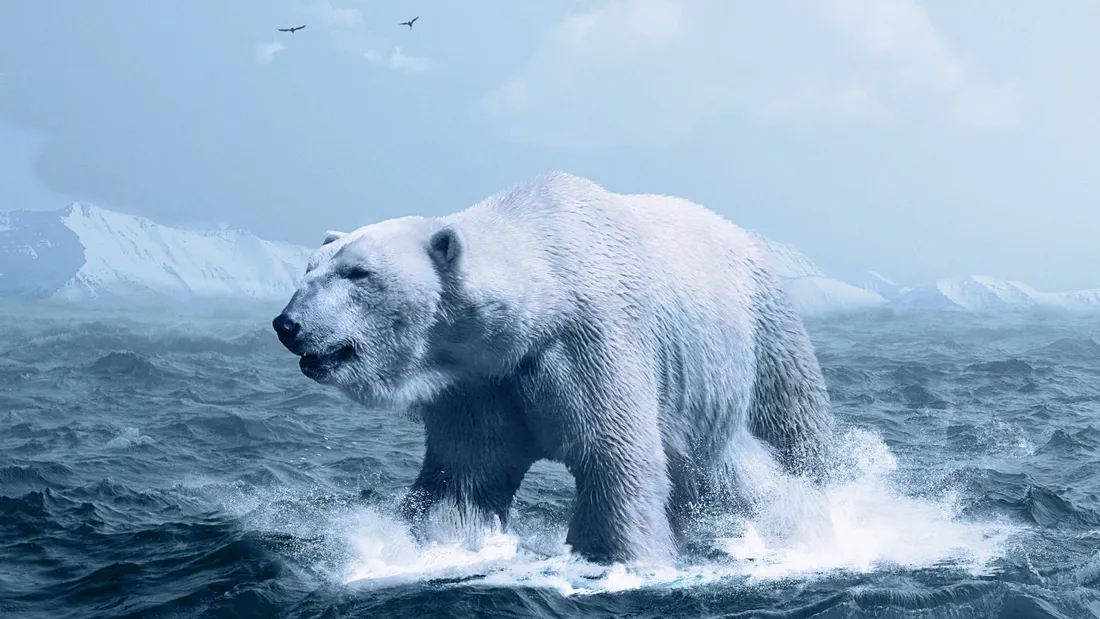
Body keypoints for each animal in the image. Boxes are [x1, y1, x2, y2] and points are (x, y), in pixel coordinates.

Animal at [272, 172, 833, 565]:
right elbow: (464, 475)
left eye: (358, 273)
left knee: (781, 432)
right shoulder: (481, 382)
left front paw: (615, 559)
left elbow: (614, 455)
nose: (287, 324)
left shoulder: (591, 342)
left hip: (760, 333)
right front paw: (431, 546)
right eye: (310, 269)